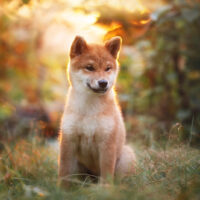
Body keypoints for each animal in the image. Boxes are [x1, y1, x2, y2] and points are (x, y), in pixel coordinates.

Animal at [58, 35, 136, 187]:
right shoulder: (68, 140)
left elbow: (106, 172)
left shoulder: (107, 143)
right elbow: (64, 172)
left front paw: (105, 189)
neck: (89, 109)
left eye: (107, 68)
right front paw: (62, 189)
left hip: (126, 156)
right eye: (89, 68)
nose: (103, 83)